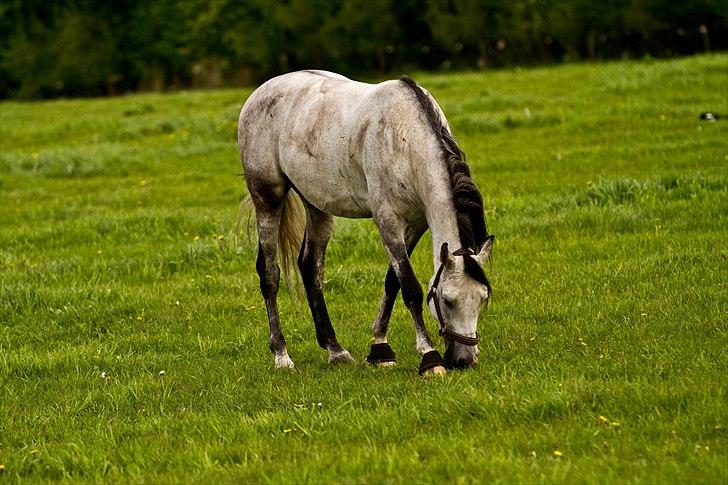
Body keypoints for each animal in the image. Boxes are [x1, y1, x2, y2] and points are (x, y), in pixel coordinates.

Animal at [239, 69, 494, 374]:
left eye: (483, 298)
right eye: (447, 300)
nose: (464, 360)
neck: (405, 138)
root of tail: (259, 93)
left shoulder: (417, 223)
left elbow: (392, 282)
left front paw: (380, 348)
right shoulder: (388, 220)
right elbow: (410, 287)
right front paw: (429, 358)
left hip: (317, 204)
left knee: (310, 267)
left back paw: (335, 350)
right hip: (267, 198)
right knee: (269, 273)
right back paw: (281, 355)